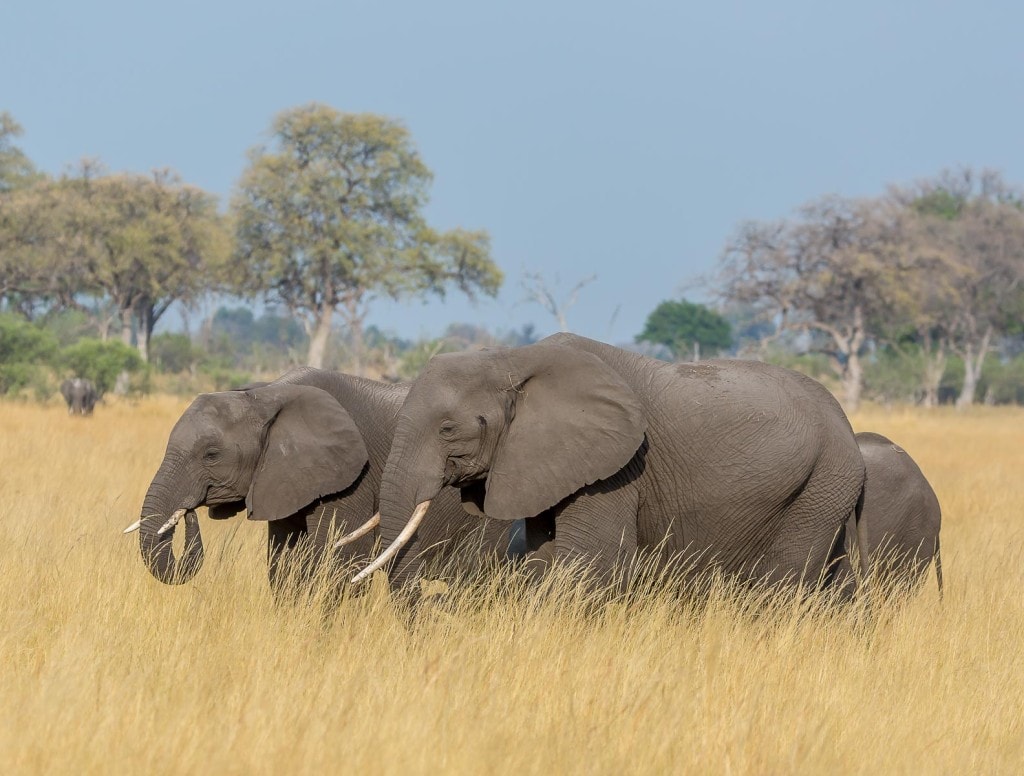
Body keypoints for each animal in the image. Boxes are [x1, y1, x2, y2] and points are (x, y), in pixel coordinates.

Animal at [128, 368, 512, 593]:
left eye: (210, 454)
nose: (188, 513)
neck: (265, 395)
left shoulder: (352, 478)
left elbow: (338, 560)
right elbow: (283, 564)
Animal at [356, 333, 868, 593]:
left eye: (447, 429)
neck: (509, 359)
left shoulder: (616, 466)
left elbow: (590, 558)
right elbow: (545, 551)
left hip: (822, 486)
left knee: (782, 582)